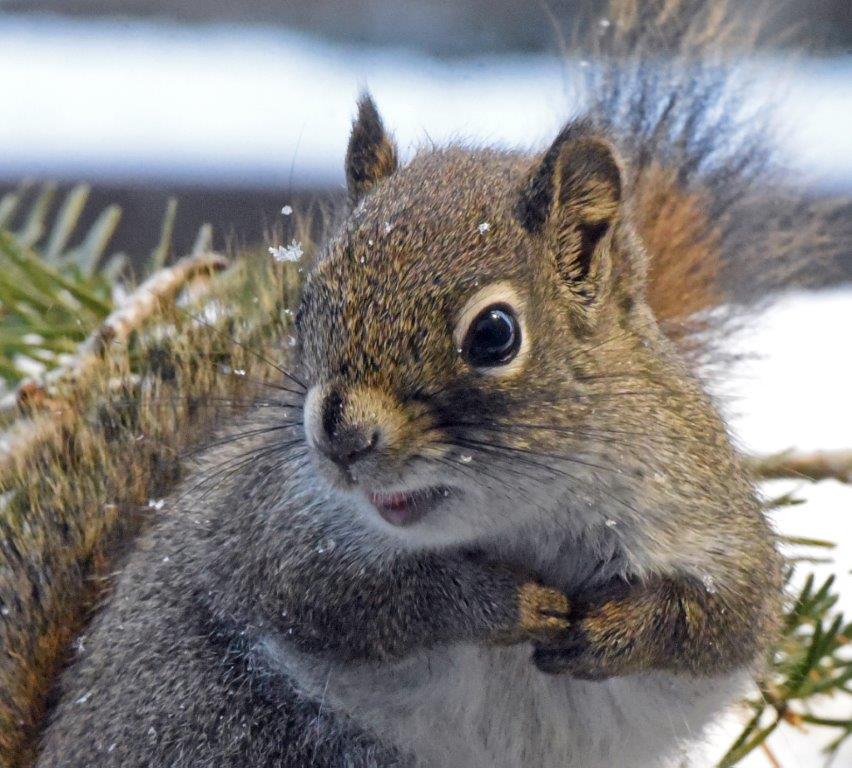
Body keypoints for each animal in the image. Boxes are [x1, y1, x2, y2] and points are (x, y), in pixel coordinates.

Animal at [2, 1, 848, 767]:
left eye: (495, 334)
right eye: (307, 302)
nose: (339, 434)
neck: (524, 519)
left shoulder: (706, 513)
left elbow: (724, 621)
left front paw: (614, 631)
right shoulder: (271, 523)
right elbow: (345, 596)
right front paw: (502, 602)